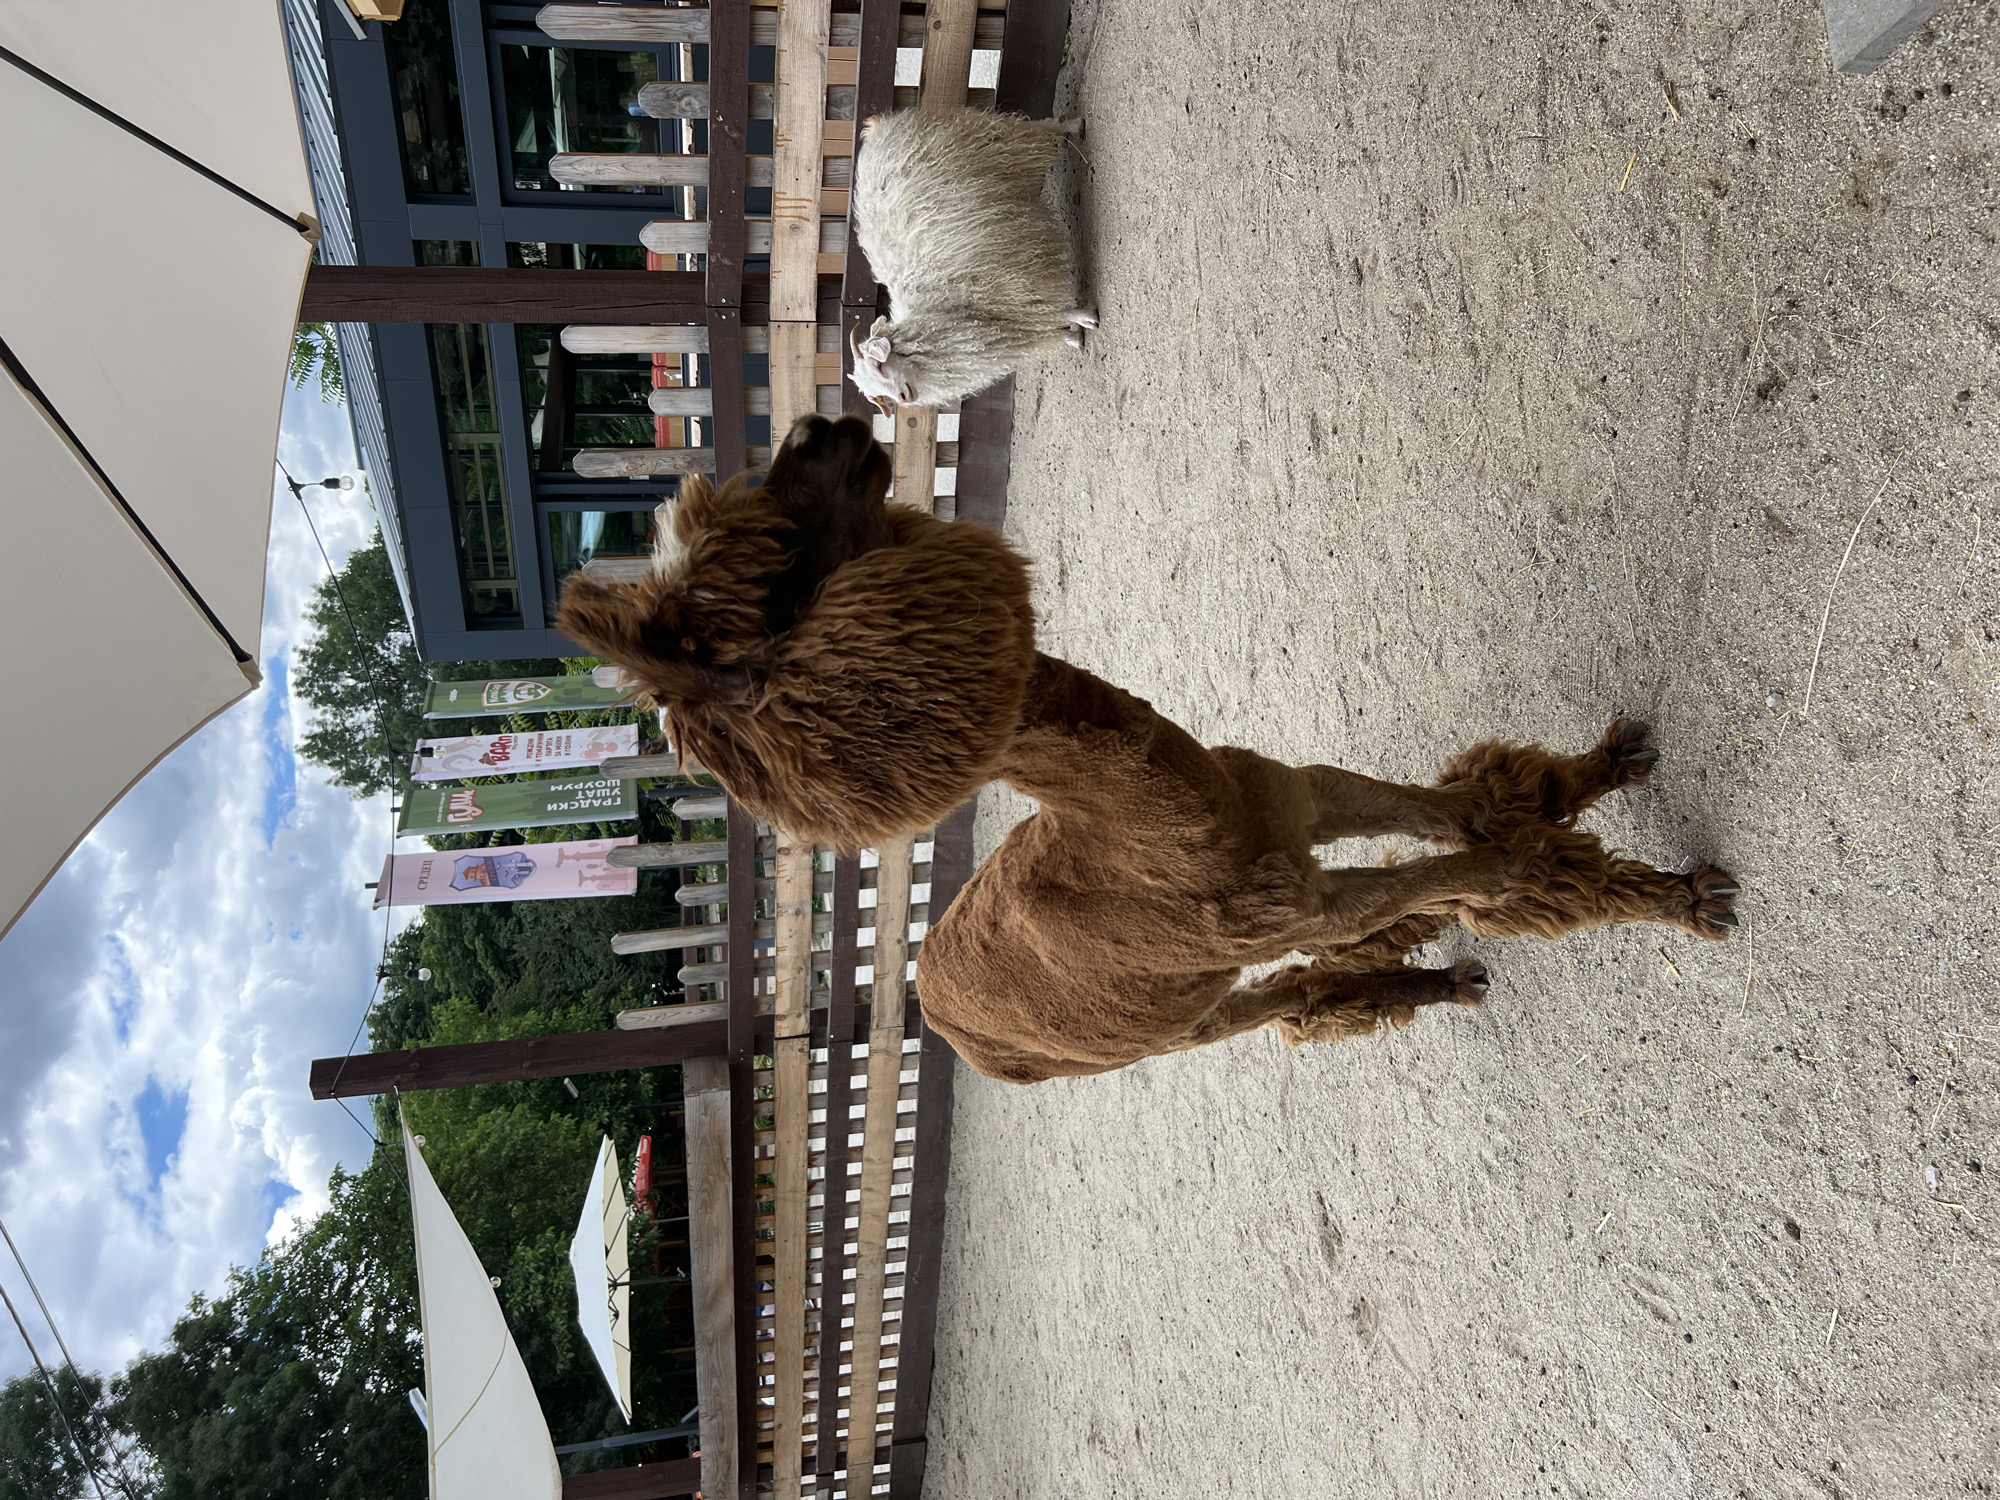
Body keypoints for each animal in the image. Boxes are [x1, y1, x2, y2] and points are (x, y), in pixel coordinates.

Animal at [557, 416, 1742, 1084]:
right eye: (781, 584)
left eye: (779, 538)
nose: (815, 423)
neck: (1162, 845)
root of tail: (932, 1007)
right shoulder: (1294, 900)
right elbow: (1484, 867)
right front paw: (1671, 896)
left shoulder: (1300, 804)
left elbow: (1448, 818)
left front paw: (1605, 775)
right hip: (1175, 1024)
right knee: (1290, 1000)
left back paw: (1436, 968)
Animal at [847, 107, 1096, 413]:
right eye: (877, 395)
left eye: (879, 367)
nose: (904, 398)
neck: (936, 315)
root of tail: (876, 127)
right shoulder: (1005, 330)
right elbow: (1040, 330)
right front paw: (1072, 337)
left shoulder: (1008, 290)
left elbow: (1055, 310)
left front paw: (1085, 317)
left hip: (993, 140)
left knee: (1039, 128)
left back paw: (1073, 126)